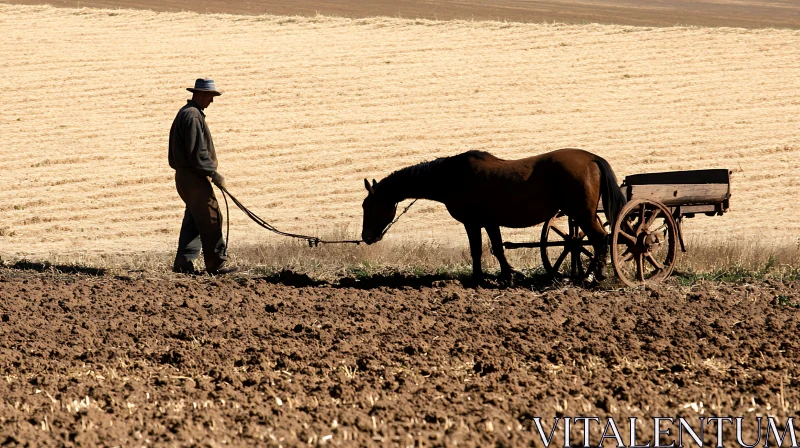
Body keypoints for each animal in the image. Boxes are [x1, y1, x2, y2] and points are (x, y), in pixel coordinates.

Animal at [360, 150, 628, 284]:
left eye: (369, 205)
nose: (367, 237)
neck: (452, 177)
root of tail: (591, 158)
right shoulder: (490, 223)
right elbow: (498, 248)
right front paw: (509, 275)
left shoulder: (473, 223)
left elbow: (478, 250)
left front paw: (478, 278)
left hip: (582, 214)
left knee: (599, 239)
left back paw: (594, 276)